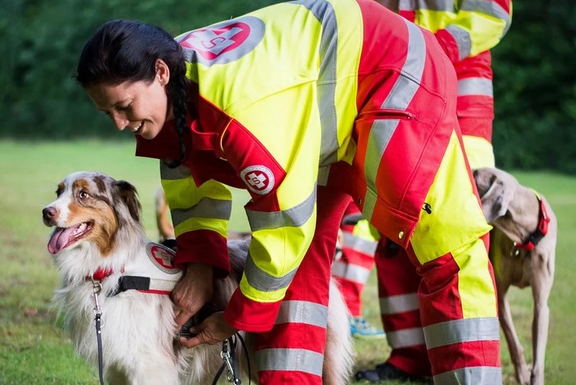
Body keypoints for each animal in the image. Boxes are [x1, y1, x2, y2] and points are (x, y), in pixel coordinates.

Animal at [40, 172, 354, 384]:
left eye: (83, 194)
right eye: (57, 192)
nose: (46, 211)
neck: (112, 270)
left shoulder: (149, 364)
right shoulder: (119, 366)